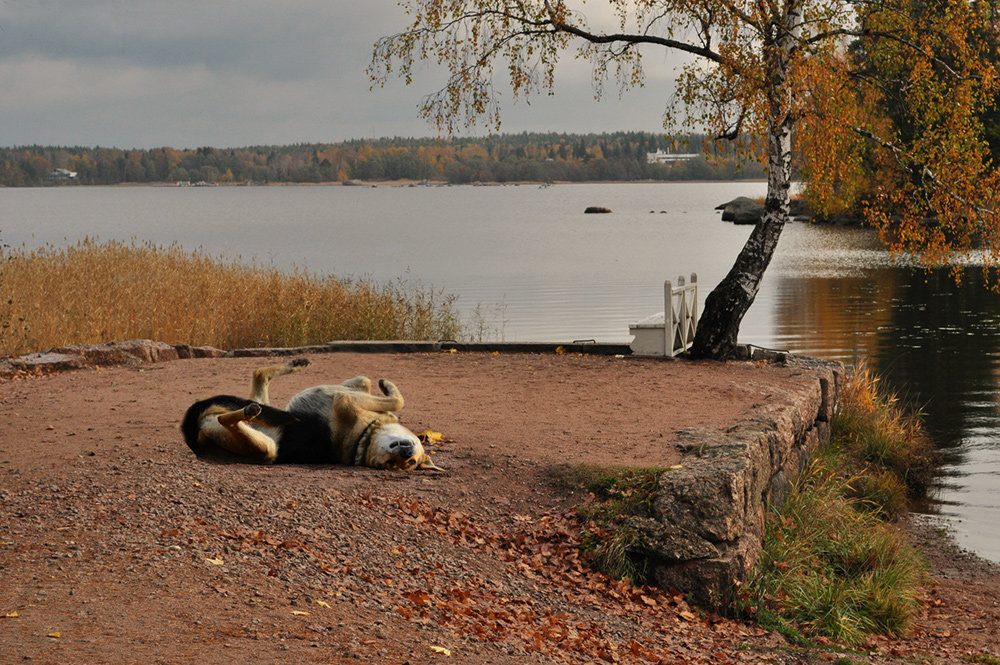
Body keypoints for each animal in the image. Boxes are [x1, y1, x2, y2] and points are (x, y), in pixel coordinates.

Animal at [179, 356, 442, 470]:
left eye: (404, 464)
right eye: (410, 461)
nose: (406, 452)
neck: (366, 437)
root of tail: (198, 443)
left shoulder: (344, 401)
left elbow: (397, 401)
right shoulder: (351, 393)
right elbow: (368, 383)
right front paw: (385, 385)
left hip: (265, 449)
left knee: (229, 419)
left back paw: (248, 412)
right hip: (262, 408)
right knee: (260, 374)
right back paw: (295, 364)